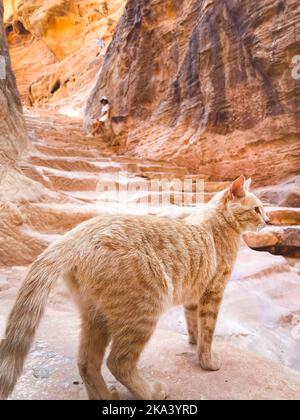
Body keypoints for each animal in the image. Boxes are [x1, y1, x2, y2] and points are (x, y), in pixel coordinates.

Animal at [0, 175, 268, 400]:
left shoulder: (193, 296)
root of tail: (78, 233)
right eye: (257, 209)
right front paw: (207, 360)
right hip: (144, 312)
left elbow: (194, 325)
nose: (267, 220)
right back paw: (151, 392)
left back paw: (106, 396)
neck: (215, 224)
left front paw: (192, 343)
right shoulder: (213, 293)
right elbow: (208, 332)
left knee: (87, 363)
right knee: (118, 362)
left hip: (96, 316)